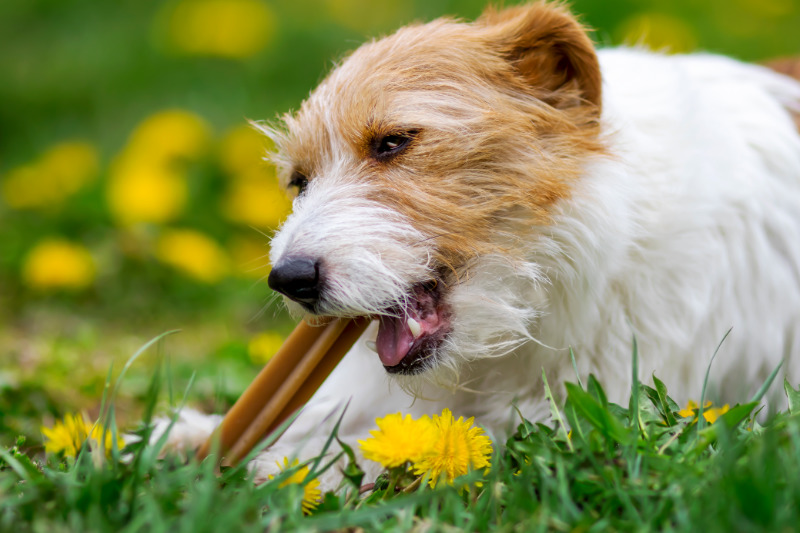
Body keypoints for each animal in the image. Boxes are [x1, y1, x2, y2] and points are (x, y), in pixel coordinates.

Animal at [161, 3, 800, 486]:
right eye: (299, 181)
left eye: (394, 142)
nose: (290, 279)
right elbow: (324, 409)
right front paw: (189, 438)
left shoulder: (592, 409)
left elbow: (430, 444)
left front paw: (287, 468)